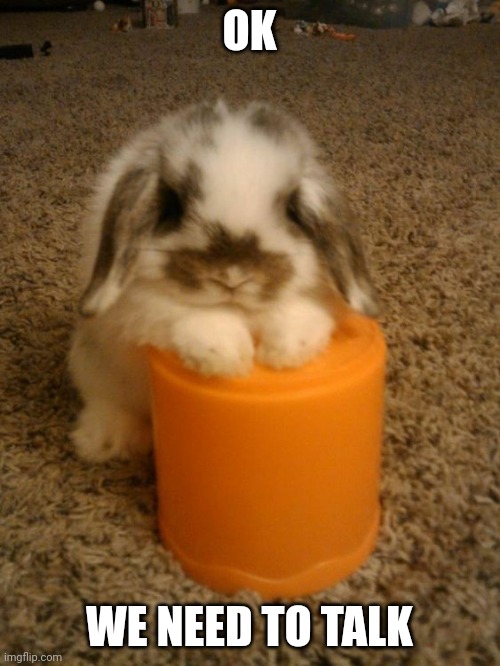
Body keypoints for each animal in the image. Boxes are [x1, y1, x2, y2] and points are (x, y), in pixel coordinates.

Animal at [68, 100, 379, 462]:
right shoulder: (138, 305)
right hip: (95, 367)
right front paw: (227, 359)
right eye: (173, 203)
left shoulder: (319, 299)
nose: (233, 276)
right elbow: (187, 312)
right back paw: (105, 440)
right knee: (109, 401)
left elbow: (296, 311)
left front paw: (285, 354)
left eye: (291, 207)